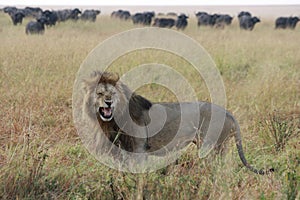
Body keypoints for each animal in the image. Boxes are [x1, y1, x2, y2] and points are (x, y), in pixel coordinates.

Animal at [81, 71, 274, 174]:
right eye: (99, 93)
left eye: (112, 94)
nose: (108, 102)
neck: (111, 121)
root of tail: (227, 112)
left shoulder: (139, 151)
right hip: (221, 148)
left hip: (209, 148)